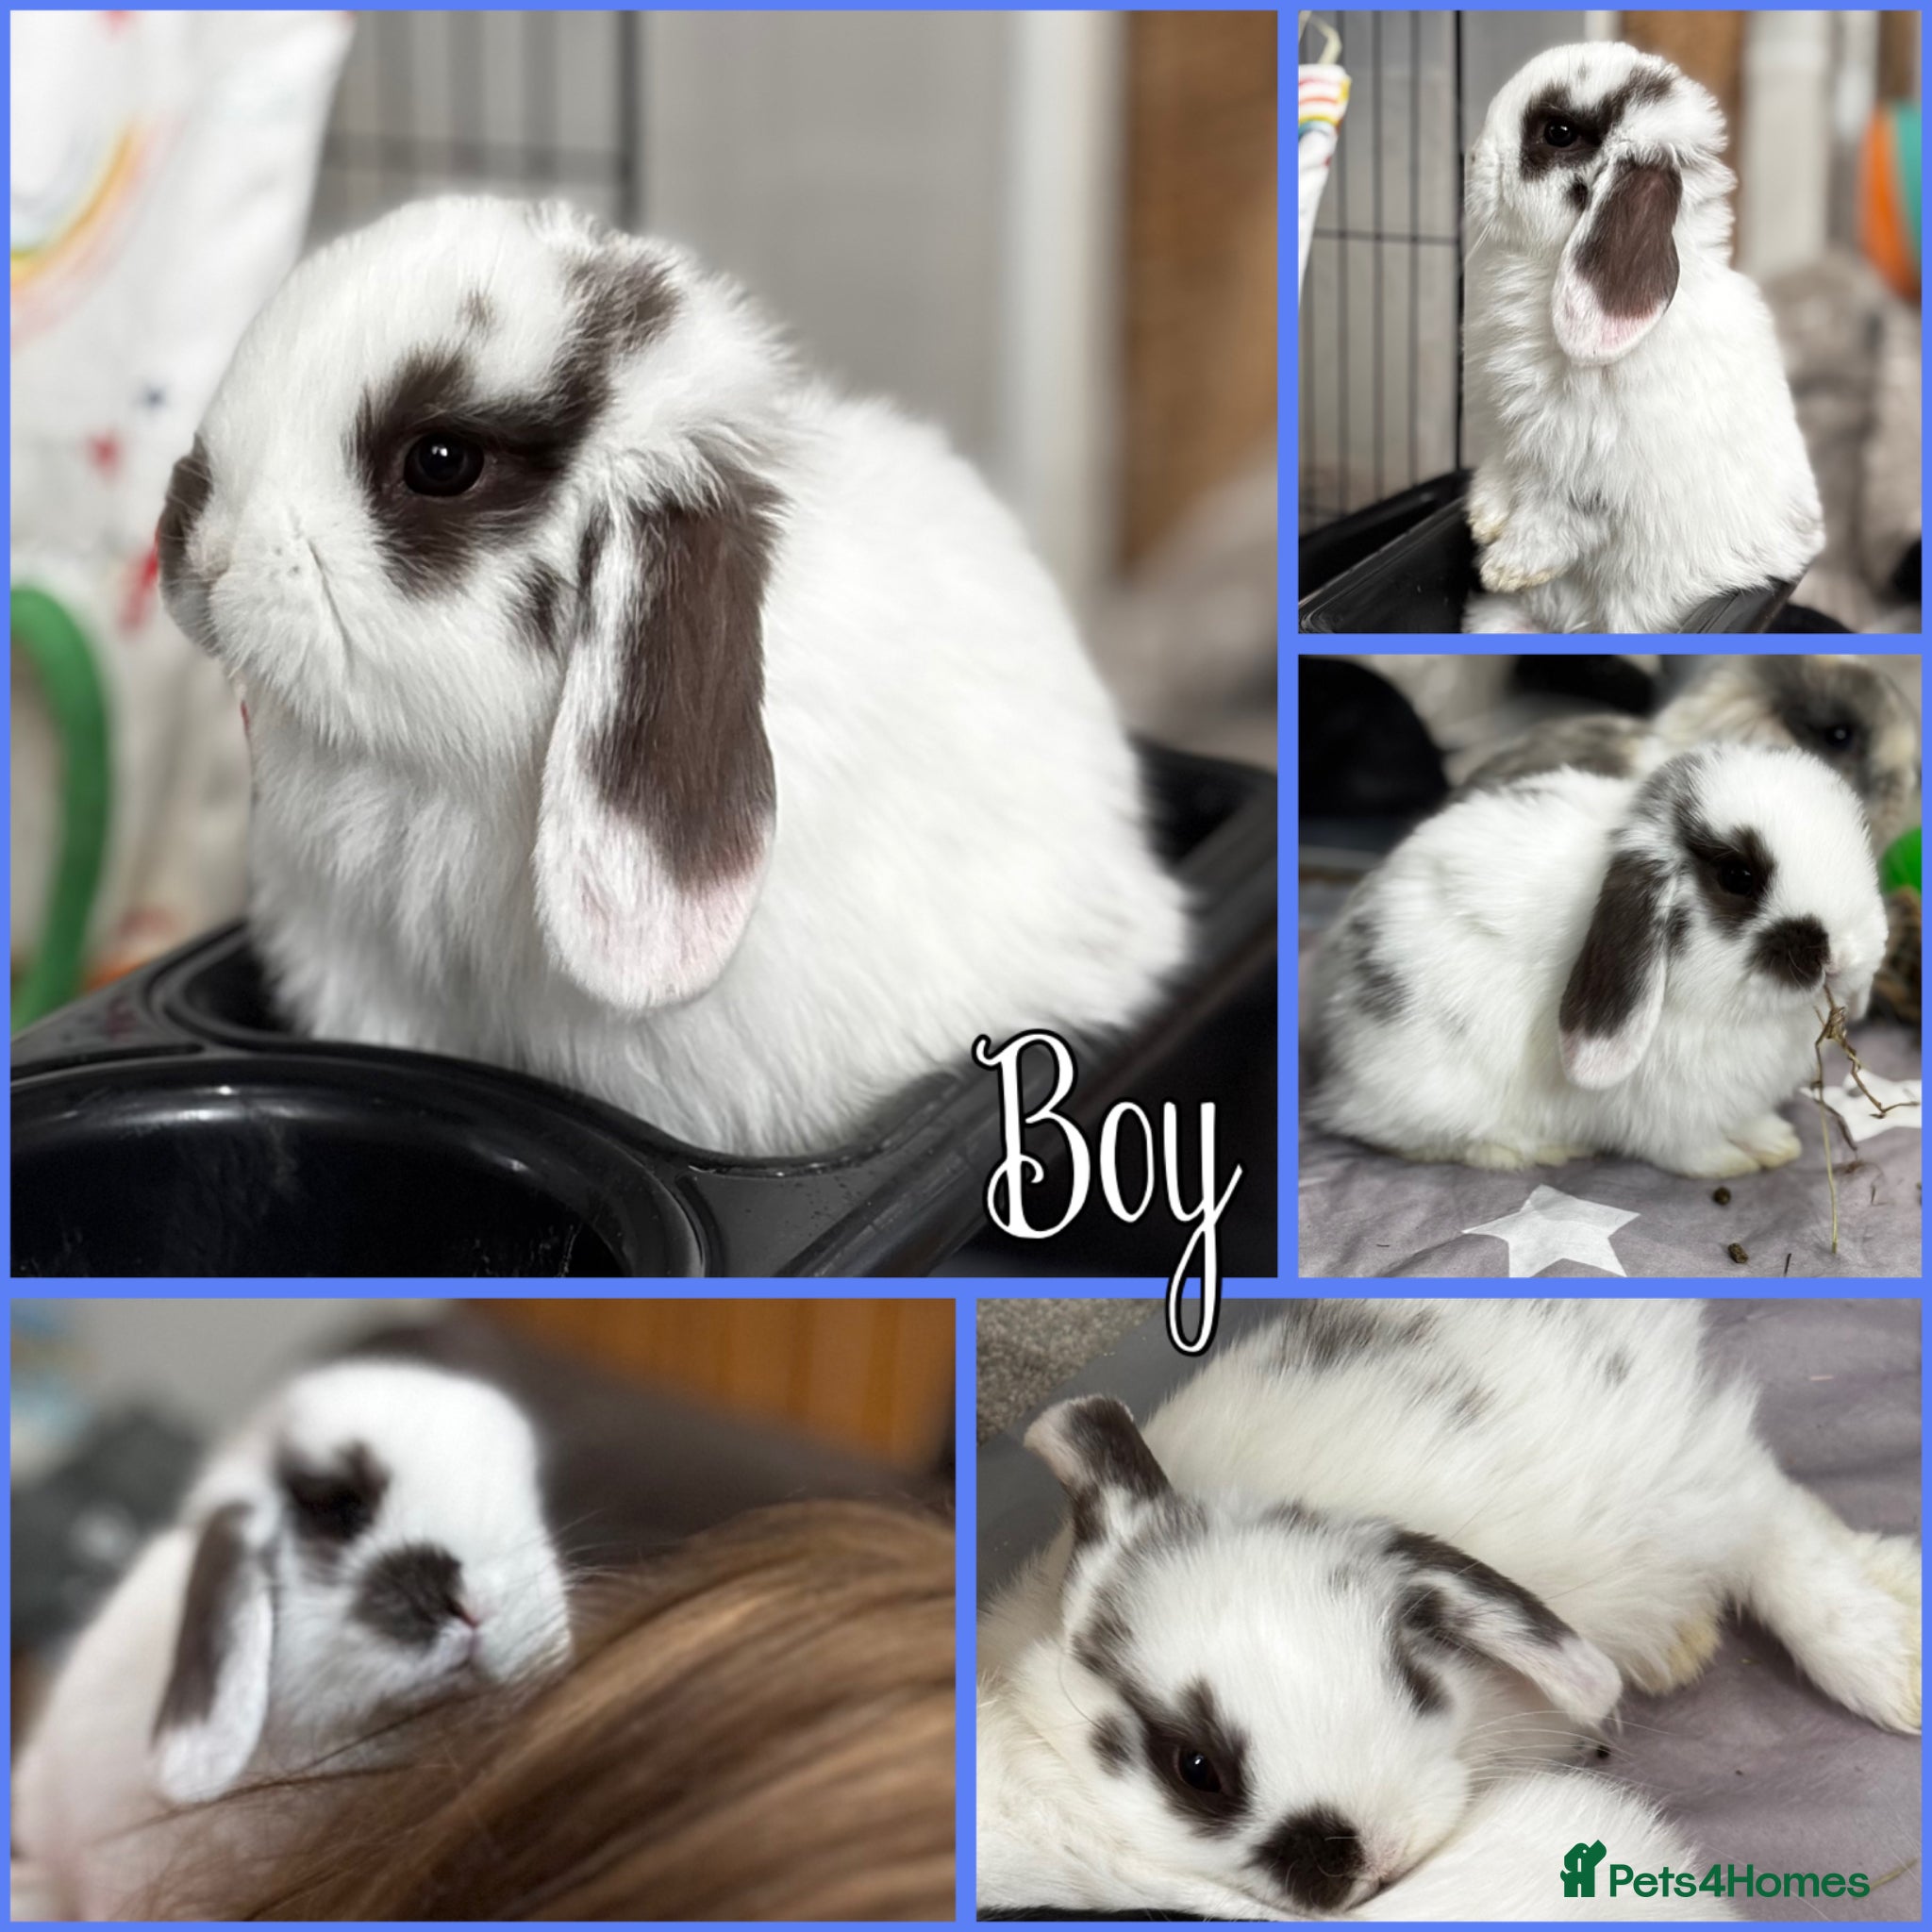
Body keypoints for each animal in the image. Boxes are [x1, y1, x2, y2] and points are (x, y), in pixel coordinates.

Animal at [976, 1299, 1919, 1918]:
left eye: (1410, 1679)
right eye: (1195, 1769)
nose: (1380, 1852)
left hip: (1672, 1489)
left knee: (1776, 1523)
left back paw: (1894, 1666)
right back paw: (1690, 1649)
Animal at [1301, 742, 1888, 1178]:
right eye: (1737, 877)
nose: (1844, 955)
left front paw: (1775, 1143)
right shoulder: (1669, 1113)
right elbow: (1690, 1149)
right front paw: (1730, 1163)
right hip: (1426, 1087)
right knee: (1398, 1133)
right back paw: (1522, 1149)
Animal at [1461, 44, 1823, 634]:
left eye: (1558, 132)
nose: (1470, 160)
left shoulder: (1589, 475)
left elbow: (1557, 519)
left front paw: (1505, 565)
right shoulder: (1508, 435)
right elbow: (1499, 469)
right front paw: (1481, 520)